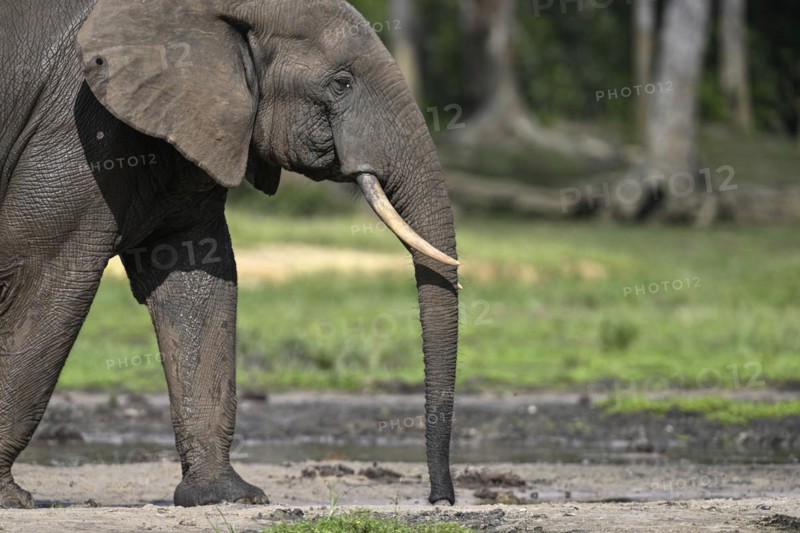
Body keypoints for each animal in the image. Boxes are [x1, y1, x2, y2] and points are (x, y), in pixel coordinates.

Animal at [0, 0, 459, 508]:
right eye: (341, 83)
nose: (441, 499)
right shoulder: (77, 131)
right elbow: (47, 274)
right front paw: (12, 499)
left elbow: (196, 279)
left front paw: (226, 497)